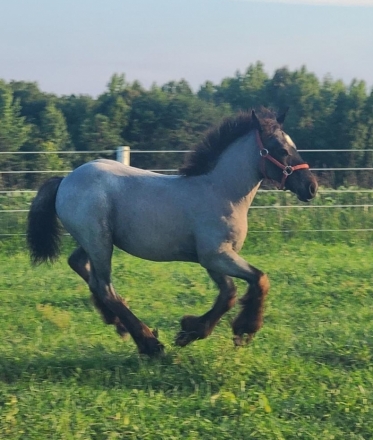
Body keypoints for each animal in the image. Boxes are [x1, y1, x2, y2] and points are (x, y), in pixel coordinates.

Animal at [26, 108, 316, 356]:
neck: (221, 192)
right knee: (103, 285)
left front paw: (190, 331)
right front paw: (244, 330)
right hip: (98, 241)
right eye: (281, 149)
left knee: (79, 264)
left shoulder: (212, 259)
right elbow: (258, 280)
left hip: (95, 241)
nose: (311, 187)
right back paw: (149, 343)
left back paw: (119, 324)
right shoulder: (215, 255)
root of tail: (65, 179)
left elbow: (229, 294)